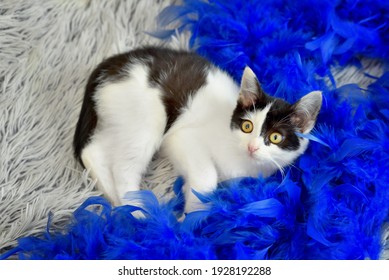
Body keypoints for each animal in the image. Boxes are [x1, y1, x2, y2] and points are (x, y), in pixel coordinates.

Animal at [73, 47, 322, 215]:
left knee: (94, 150)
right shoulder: (180, 138)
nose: (252, 147)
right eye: (247, 126)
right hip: (148, 115)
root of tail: (108, 66)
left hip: (119, 116)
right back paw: (136, 212)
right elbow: (206, 177)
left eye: (275, 137)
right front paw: (188, 221)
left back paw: (113, 198)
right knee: (123, 168)